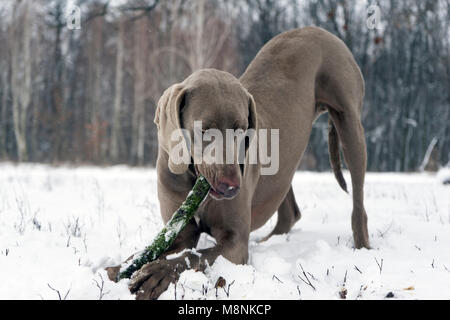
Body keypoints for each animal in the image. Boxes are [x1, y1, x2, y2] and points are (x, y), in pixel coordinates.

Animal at [106, 26, 370, 298]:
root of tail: (318, 30)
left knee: (358, 204)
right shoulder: (179, 232)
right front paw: (119, 268)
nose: (232, 186)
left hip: (349, 123)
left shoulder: (234, 244)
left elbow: (194, 255)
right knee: (289, 210)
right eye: (205, 129)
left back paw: (362, 246)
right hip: (283, 163)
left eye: (241, 129)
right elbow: (169, 250)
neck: (194, 181)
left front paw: (155, 274)